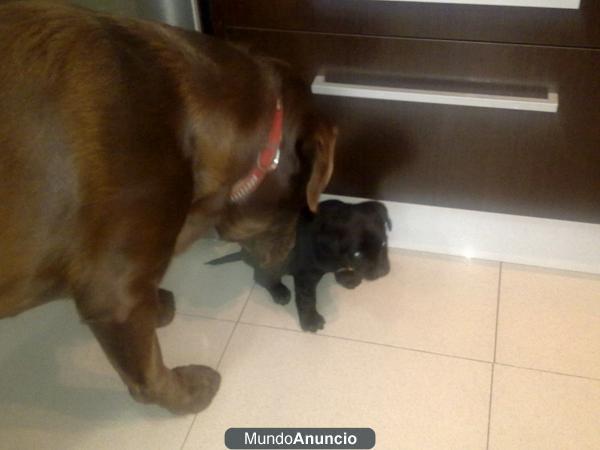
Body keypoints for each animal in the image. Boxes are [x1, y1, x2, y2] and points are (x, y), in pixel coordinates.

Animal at [0, 1, 338, 414]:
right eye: (300, 210)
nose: (289, 262)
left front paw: (159, 305)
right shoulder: (114, 292)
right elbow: (148, 373)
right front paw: (189, 394)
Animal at [209, 200, 392, 330]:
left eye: (383, 244)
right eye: (357, 254)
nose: (382, 272)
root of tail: (244, 253)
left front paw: (347, 276)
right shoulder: (305, 277)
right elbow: (307, 299)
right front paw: (310, 321)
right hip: (272, 263)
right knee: (261, 277)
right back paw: (279, 291)